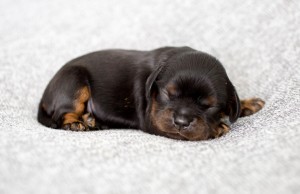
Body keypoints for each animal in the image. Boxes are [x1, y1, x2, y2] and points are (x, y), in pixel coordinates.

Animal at [38, 47, 264, 141]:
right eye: (168, 94)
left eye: (208, 105)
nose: (181, 121)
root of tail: (45, 95)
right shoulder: (153, 121)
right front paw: (218, 127)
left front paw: (247, 103)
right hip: (75, 81)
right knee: (62, 114)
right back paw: (76, 122)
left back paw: (91, 119)